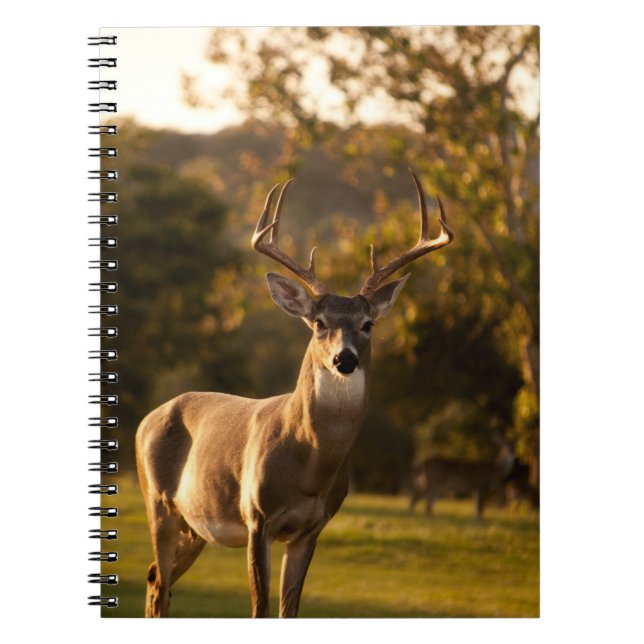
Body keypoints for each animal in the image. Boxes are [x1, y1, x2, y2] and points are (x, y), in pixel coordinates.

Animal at [135, 170, 453, 617]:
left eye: (368, 324)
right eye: (319, 322)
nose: (344, 359)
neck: (309, 462)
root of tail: (147, 419)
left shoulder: (311, 528)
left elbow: (290, 609)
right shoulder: (257, 518)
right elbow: (260, 608)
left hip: (194, 527)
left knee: (153, 580)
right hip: (159, 503)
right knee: (160, 584)